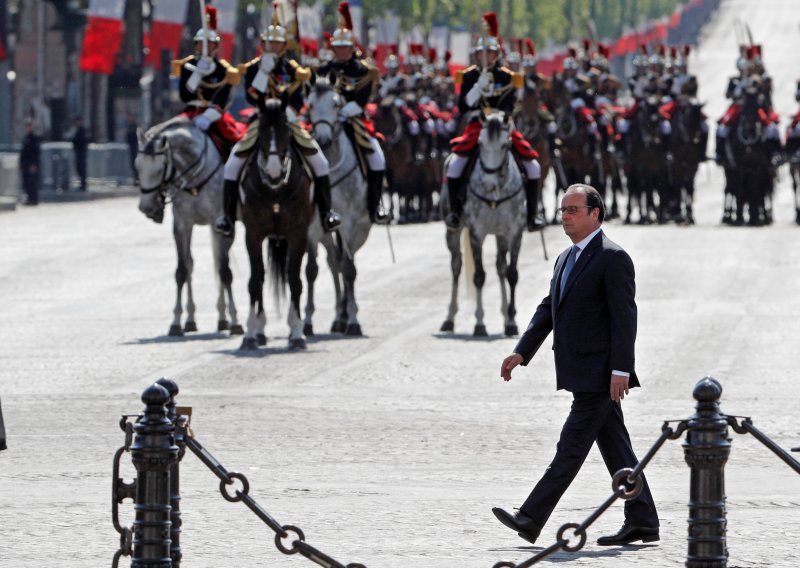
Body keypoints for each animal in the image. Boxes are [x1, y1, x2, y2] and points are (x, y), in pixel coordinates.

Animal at [136, 117, 242, 336]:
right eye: (137, 166)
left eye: (160, 169)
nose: (146, 207)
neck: (195, 177)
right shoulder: (182, 224)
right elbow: (183, 270)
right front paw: (179, 322)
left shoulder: (220, 222)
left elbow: (225, 272)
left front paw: (236, 320)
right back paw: (212, 318)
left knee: (222, 265)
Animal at [238, 97, 312, 350]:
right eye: (260, 130)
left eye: (285, 129)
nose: (273, 171)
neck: (275, 190)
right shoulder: (252, 234)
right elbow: (255, 280)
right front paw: (250, 333)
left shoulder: (299, 234)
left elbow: (295, 280)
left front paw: (297, 333)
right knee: (259, 277)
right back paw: (259, 331)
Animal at [306, 79, 372, 338]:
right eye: (310, 104)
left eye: (336, 104)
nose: (323, 140)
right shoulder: (314, 226)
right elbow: (312, 269)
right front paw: (307, 322)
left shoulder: (350, 222)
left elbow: (350, 268)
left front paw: (353, 321)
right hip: (328, 232)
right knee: (334, 262)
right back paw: (338, 317)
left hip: (360, 230)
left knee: (345, 262)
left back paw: (346, 317)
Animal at [440, 111, 528, 338]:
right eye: (479, 144)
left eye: (505, 145)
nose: (488, 185)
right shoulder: (476, 233)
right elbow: (479, 276)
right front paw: (479, 324)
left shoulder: (514, 232)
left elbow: (512, 274)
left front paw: (511, 320)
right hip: (452, 232)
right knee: (456, 266)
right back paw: (449, 318)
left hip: (501, 235)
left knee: (501, 268)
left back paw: (505, 316)